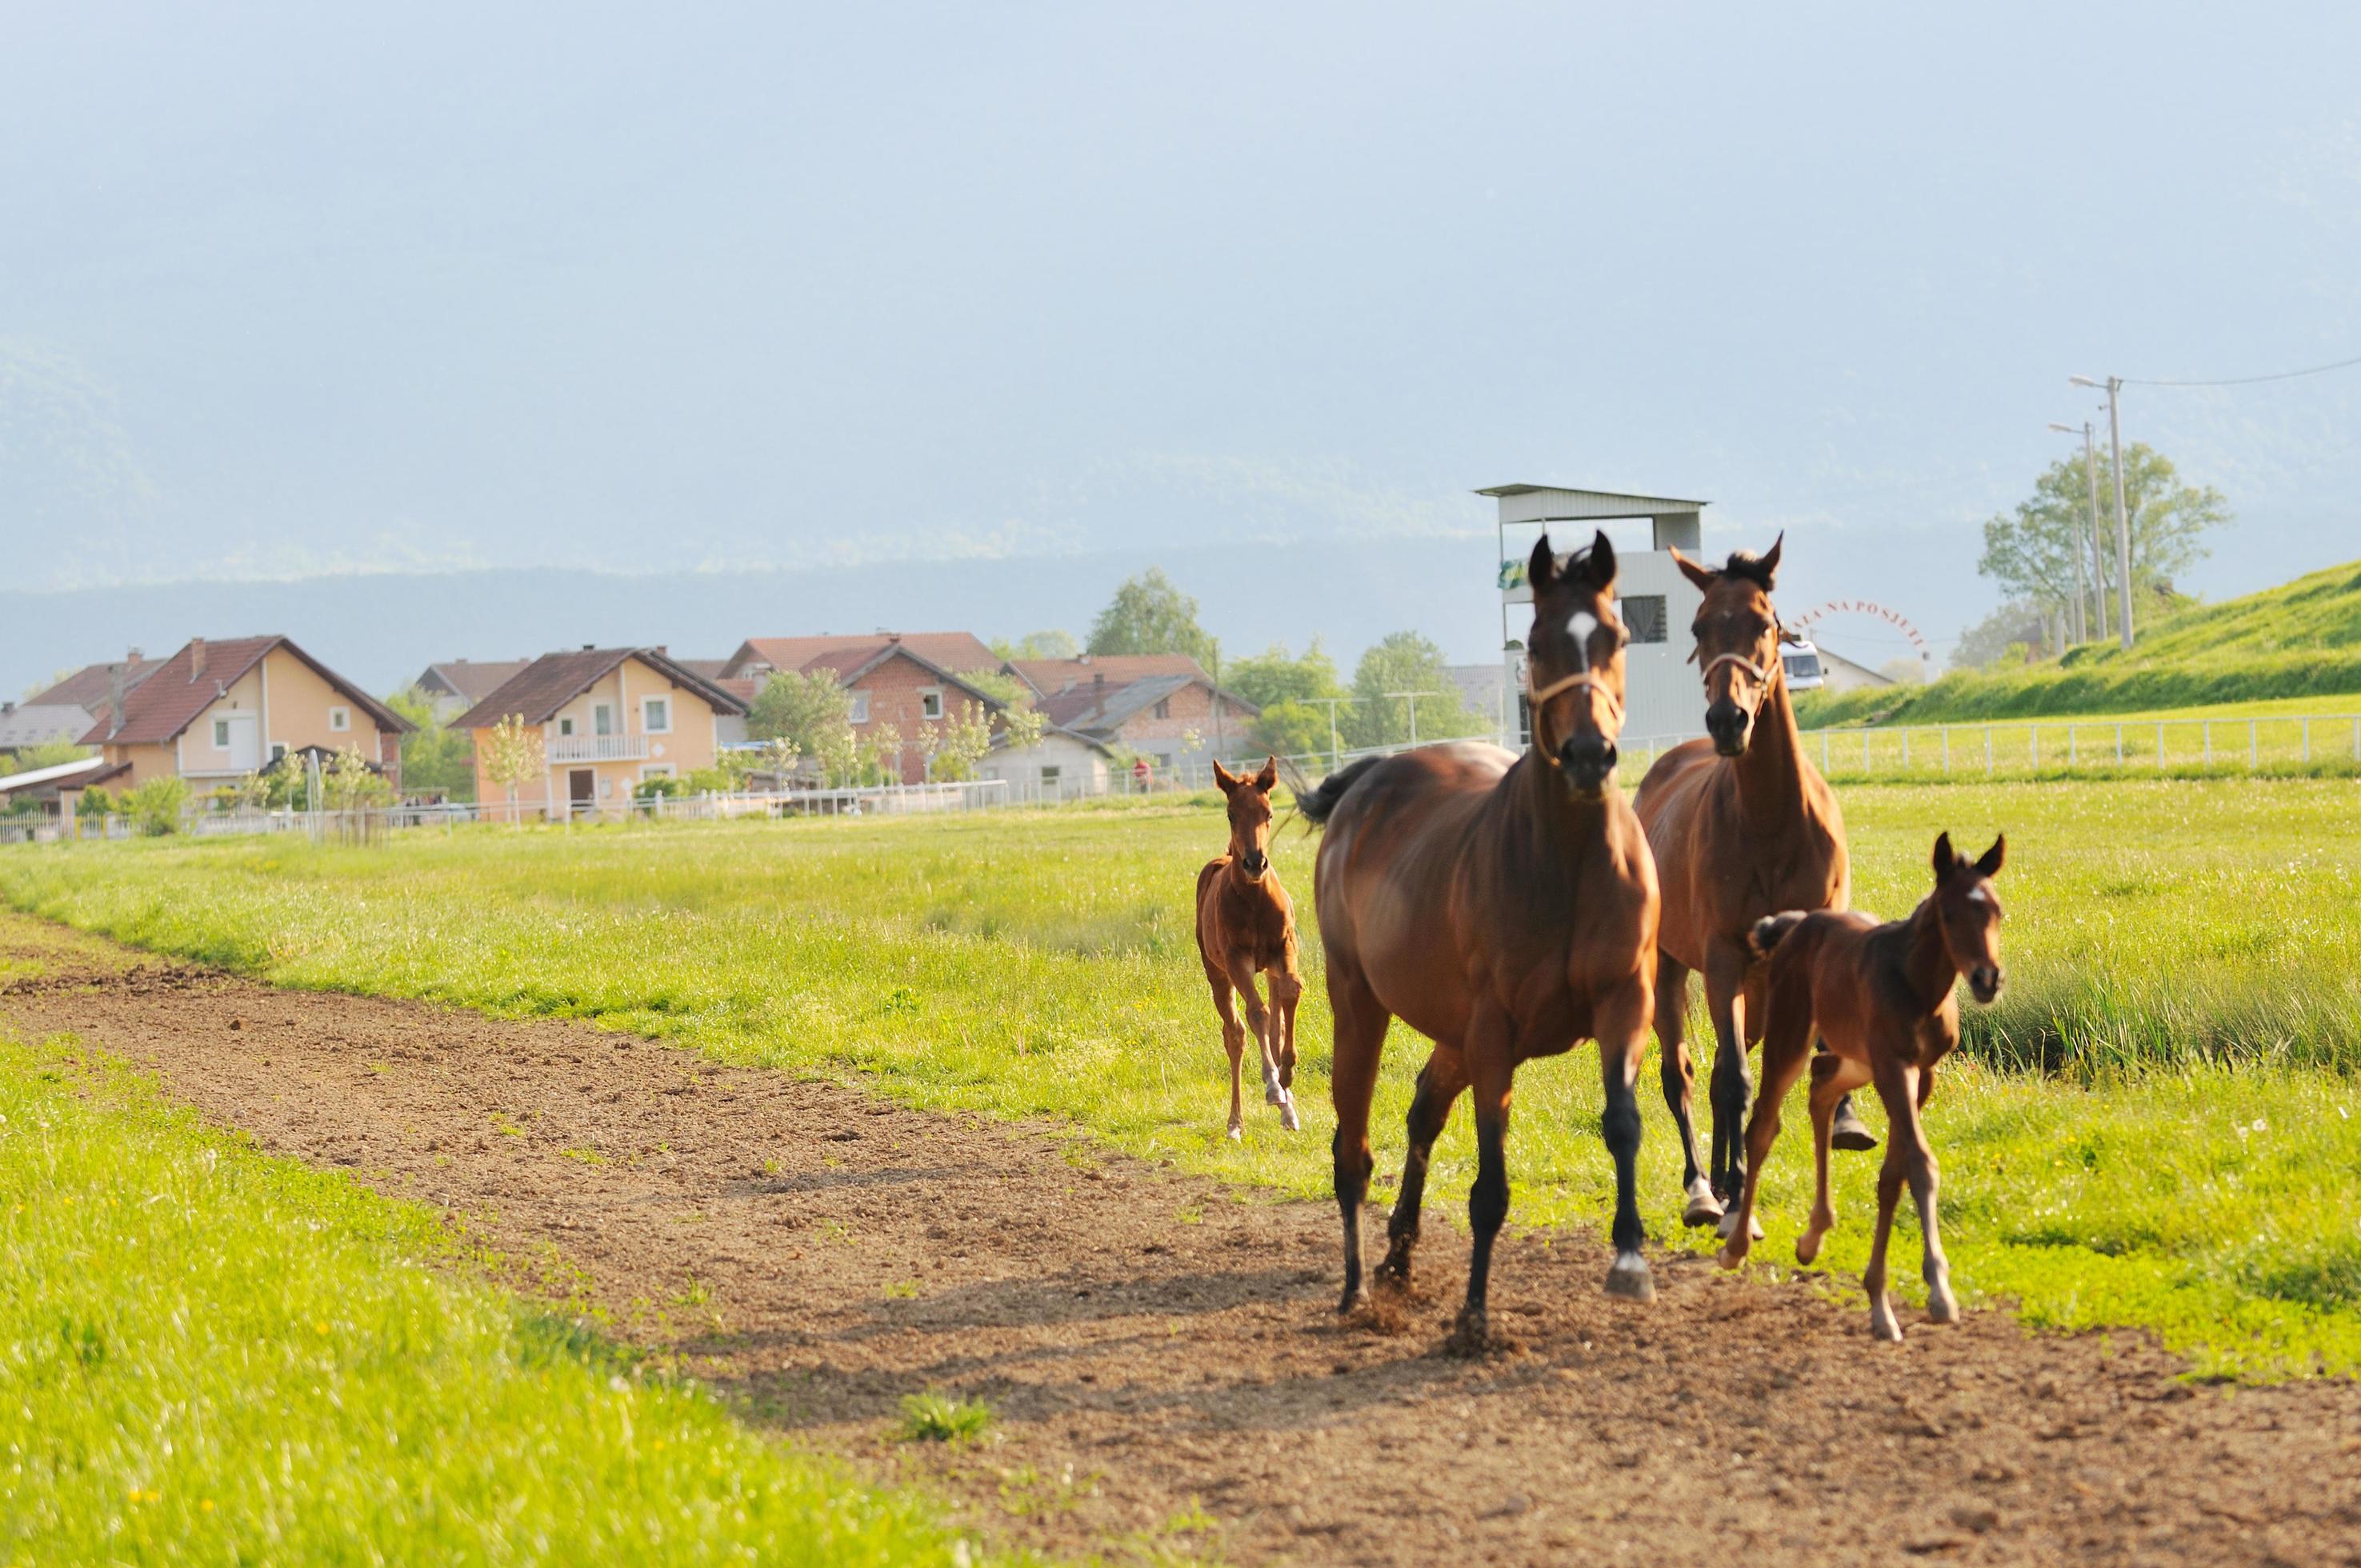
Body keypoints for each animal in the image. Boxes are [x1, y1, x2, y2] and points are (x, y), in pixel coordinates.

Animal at [1199, 755, 1312, 1138]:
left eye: (1269, 813)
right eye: (1231, 815)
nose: (1254, 862)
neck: (1254, 901)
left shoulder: (1284, 950)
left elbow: (1289, 997)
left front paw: (1288, 1073)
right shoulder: (1237, 961)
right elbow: (1257, 1014)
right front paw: (1273, 1085)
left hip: (1270, 969)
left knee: (1274, 1022)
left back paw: (1288, 1110)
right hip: (1217, 974)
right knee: (1235, 1033)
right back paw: (1236, 1122)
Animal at [1312, 534, 1662, 1341]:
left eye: (1615, 636)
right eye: (1534, 642)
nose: (1589, 755)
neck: (1567, 861)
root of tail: (1366, 784)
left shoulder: (1622, 1003)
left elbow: (1622, 1123)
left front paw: (1629, 1259)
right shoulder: (1494, 1032)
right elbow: (1491, 1185)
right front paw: (1473, 1315)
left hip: (1449, 1029)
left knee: (1422, 1110)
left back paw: (1399, 1253)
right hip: (1359, 1002)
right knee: (1353, 1145)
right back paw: (1356, 1285)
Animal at [1634, 534, 1870, 1227]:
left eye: (1764, 623)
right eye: (1698, 626)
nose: (1727, 720)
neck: (1770, 820)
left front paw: (1846, 1122)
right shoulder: (1721, 957)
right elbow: (1732, 1078)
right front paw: (1733, 1194)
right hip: (1670, 971)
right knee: (1686, 1073)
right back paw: (1704, 1189)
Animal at [1719, 826, 2011, 1341]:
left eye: (1994, 910)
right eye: (1949, 913)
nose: (1987, 979)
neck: (1917, 985)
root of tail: (1798, 924)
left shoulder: (1921, 1074)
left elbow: (1894, 1175)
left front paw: (1880, 1301)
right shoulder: (1894, 1068)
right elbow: (1920, 1164)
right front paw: (1938, 1293)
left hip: (1857, 1058)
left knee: (1821, 1087)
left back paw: (1813, 1235)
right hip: (1791, 1037)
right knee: (1764, 1127)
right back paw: (1736, 1246)